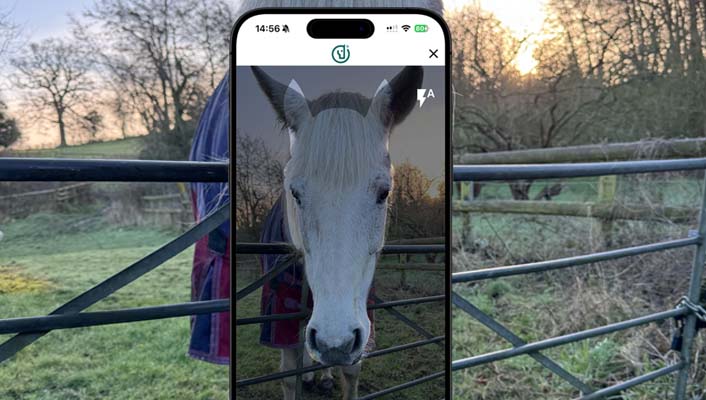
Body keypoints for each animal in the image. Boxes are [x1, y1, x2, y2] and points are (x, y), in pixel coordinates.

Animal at [187, 1, 443, 399]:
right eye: (295, 192)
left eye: (384, 192)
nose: (334, 341)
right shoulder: (279, 310)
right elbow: (288, 372)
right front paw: (305, 373)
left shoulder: (361, 313)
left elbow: (350, 371)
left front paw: (331, 370)